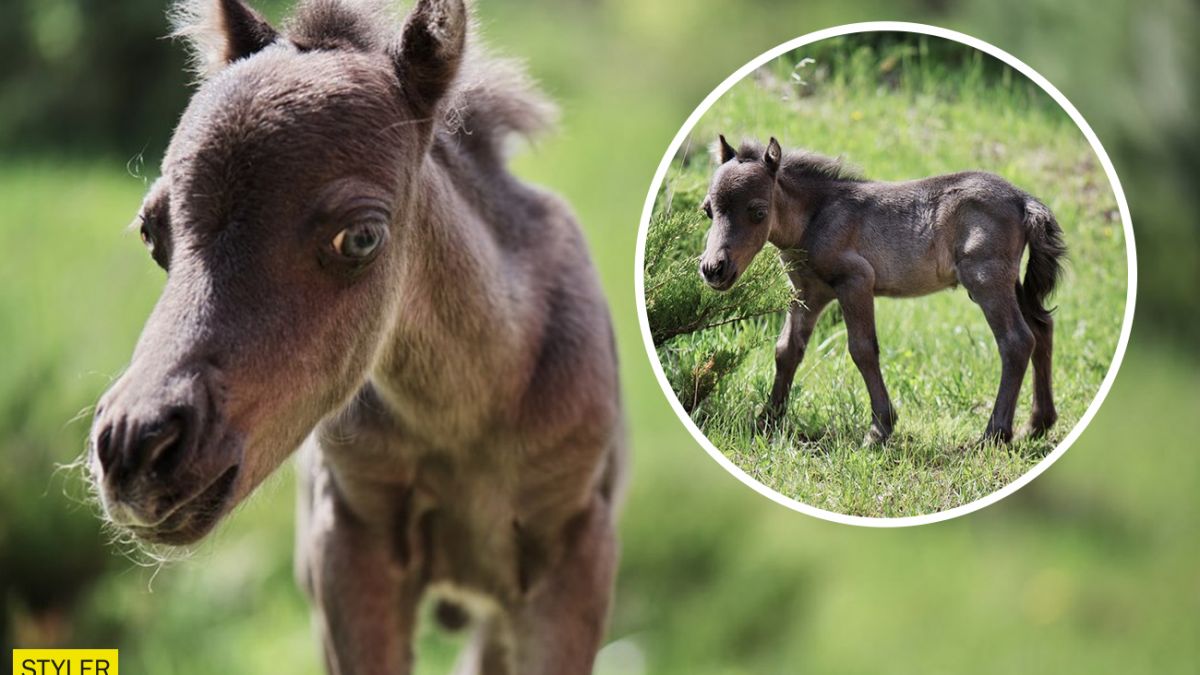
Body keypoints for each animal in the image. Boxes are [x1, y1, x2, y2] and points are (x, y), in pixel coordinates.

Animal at [87, 2, 624, 667]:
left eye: (362, 237)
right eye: (151, 231)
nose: (134, 444)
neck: (465, 419)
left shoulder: (577, 550)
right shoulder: (344, 543)